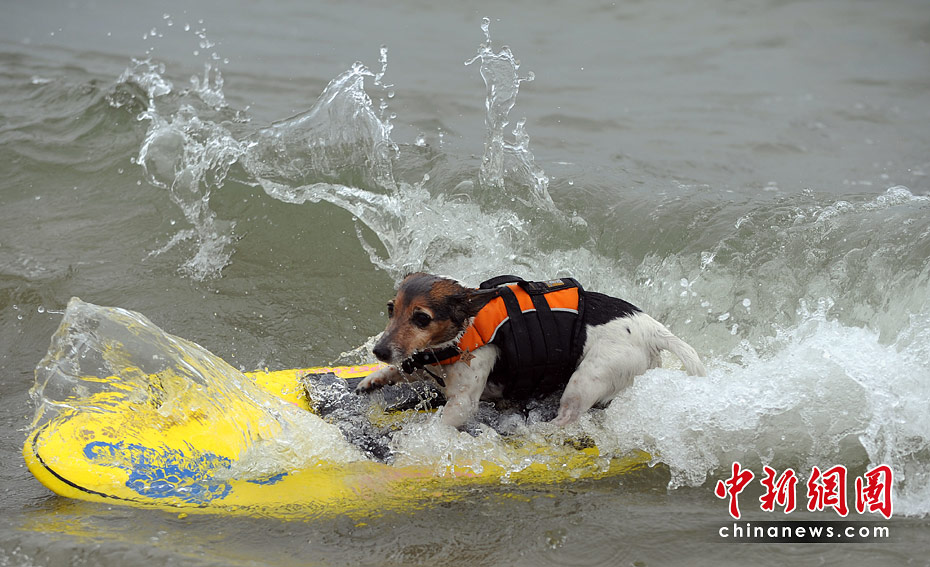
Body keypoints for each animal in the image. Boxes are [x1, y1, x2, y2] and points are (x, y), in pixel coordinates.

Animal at [356, 272, 704, 428]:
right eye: (391, 309)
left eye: (422, 318)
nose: (380, 351)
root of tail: (650, 327)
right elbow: (400, 371)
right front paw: (373, 379)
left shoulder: (463, 403)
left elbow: (443, 422)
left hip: (585, 381)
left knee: (567, 419)